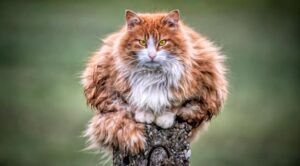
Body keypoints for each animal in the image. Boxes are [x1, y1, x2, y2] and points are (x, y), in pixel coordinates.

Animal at [82, 9, 227, 154]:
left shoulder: (200, 82)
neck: (153, 77)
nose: (152, 55)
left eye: (162, 42)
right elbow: (134, 101)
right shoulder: (107, 83)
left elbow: (175, 103)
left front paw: (164, 118)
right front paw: (145, 114)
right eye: (142, 42)